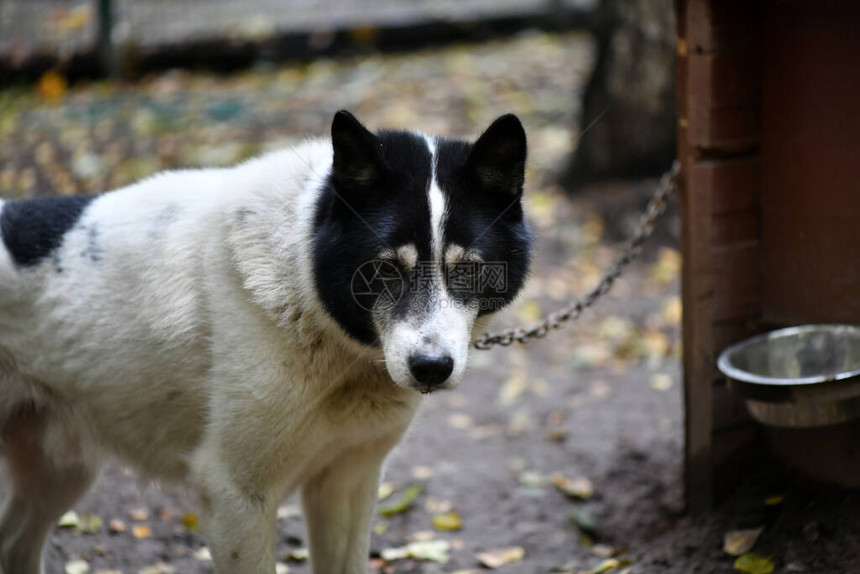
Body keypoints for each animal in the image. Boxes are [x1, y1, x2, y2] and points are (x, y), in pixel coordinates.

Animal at [0, 110, 532, 572]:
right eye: (384, 270)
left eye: (469, 270)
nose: (431, 367)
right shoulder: (236, 496)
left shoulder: (347, 483)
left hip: (62, 472)